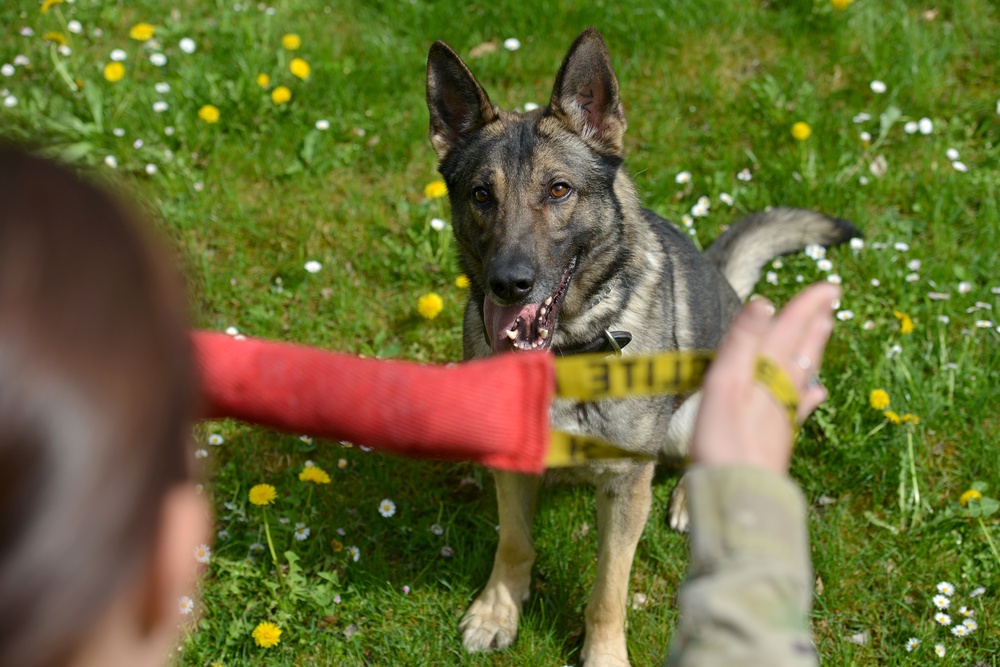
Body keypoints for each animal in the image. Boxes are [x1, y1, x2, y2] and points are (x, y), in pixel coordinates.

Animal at [426, 27, 856, 667]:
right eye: (481, 195)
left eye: (559, 190)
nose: (509, 283)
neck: (565, 350)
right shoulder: (511, 464)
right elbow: (514, 541)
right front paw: (498, 609)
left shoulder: (626, 488)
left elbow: (609, 586)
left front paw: (604, 653)